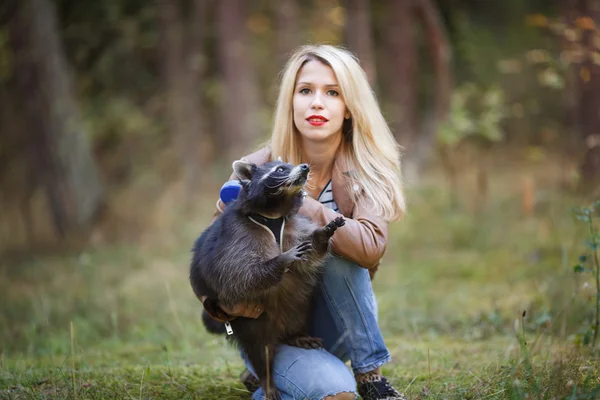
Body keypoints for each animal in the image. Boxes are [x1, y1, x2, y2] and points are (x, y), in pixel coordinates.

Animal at [190, 159, 344, 396]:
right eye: (280, 169)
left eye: (290, 163)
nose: (305, 167)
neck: (275, 211)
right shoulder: (236, 236)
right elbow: (242, 274)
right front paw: (281, 259)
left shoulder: (293, 225)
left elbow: (310, 255)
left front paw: (321, 235)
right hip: (250, 326)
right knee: (260, 352)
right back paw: (266, 379)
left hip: (297, 309)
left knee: (296, 313)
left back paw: (295, 334)